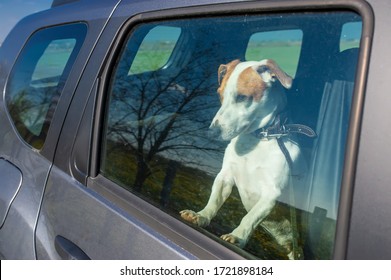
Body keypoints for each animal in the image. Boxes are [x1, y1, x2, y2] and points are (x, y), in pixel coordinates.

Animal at [181, 58, 306, 260]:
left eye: (242, 97)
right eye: (220, 95)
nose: (212, 133)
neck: (256, 140)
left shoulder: (272, 193)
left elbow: (249, 218)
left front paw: (237, 236)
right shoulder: (225, 176)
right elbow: (214, 201)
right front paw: (201, 216)